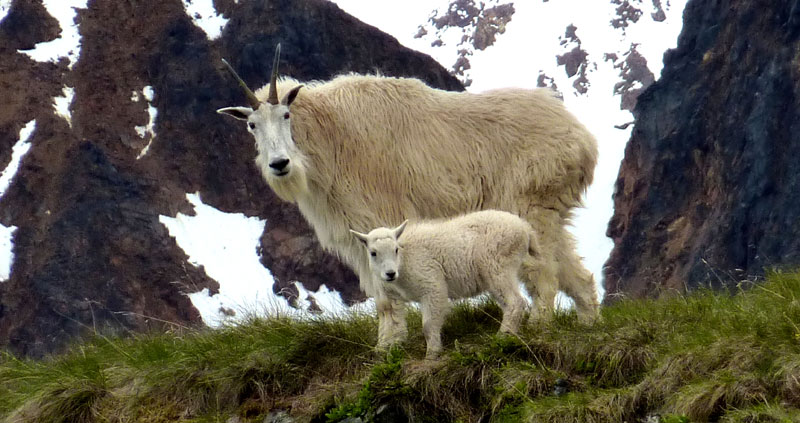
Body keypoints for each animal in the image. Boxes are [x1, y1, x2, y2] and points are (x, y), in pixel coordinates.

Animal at [219, 45, 600, 352]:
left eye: (286, 115)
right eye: (252, 125)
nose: (279, 164)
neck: (329, 135)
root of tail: (581, 139)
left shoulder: (376, 218)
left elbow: (385, 296)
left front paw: (388, 346)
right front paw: (386, 344)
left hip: (528, 204)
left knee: (544, 273)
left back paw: (538, 327)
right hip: (549, 210)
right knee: (575, 271)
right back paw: (587, 324)